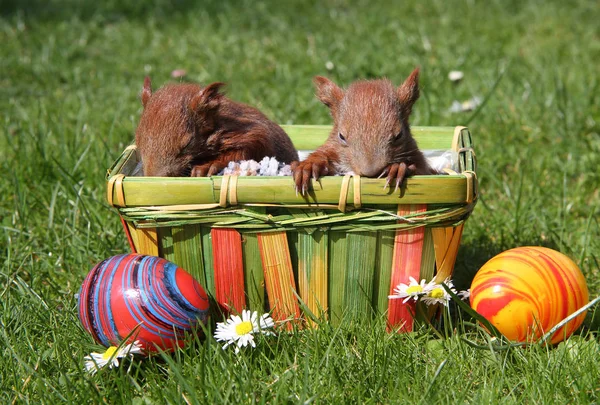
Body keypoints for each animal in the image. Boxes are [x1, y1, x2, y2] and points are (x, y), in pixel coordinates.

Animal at [134, 77, 298, 175]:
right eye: (138, 141)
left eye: (187, 143)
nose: (154, 176)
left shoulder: (249, 132)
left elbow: (250, 148)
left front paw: (208, 165)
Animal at [290, 67, 436, 193]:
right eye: (341, 136)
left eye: (399, 135)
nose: (370, 172)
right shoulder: (332, 148)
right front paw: (309, 166)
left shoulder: (419, 160)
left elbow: (423, 171)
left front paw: (397, 167)